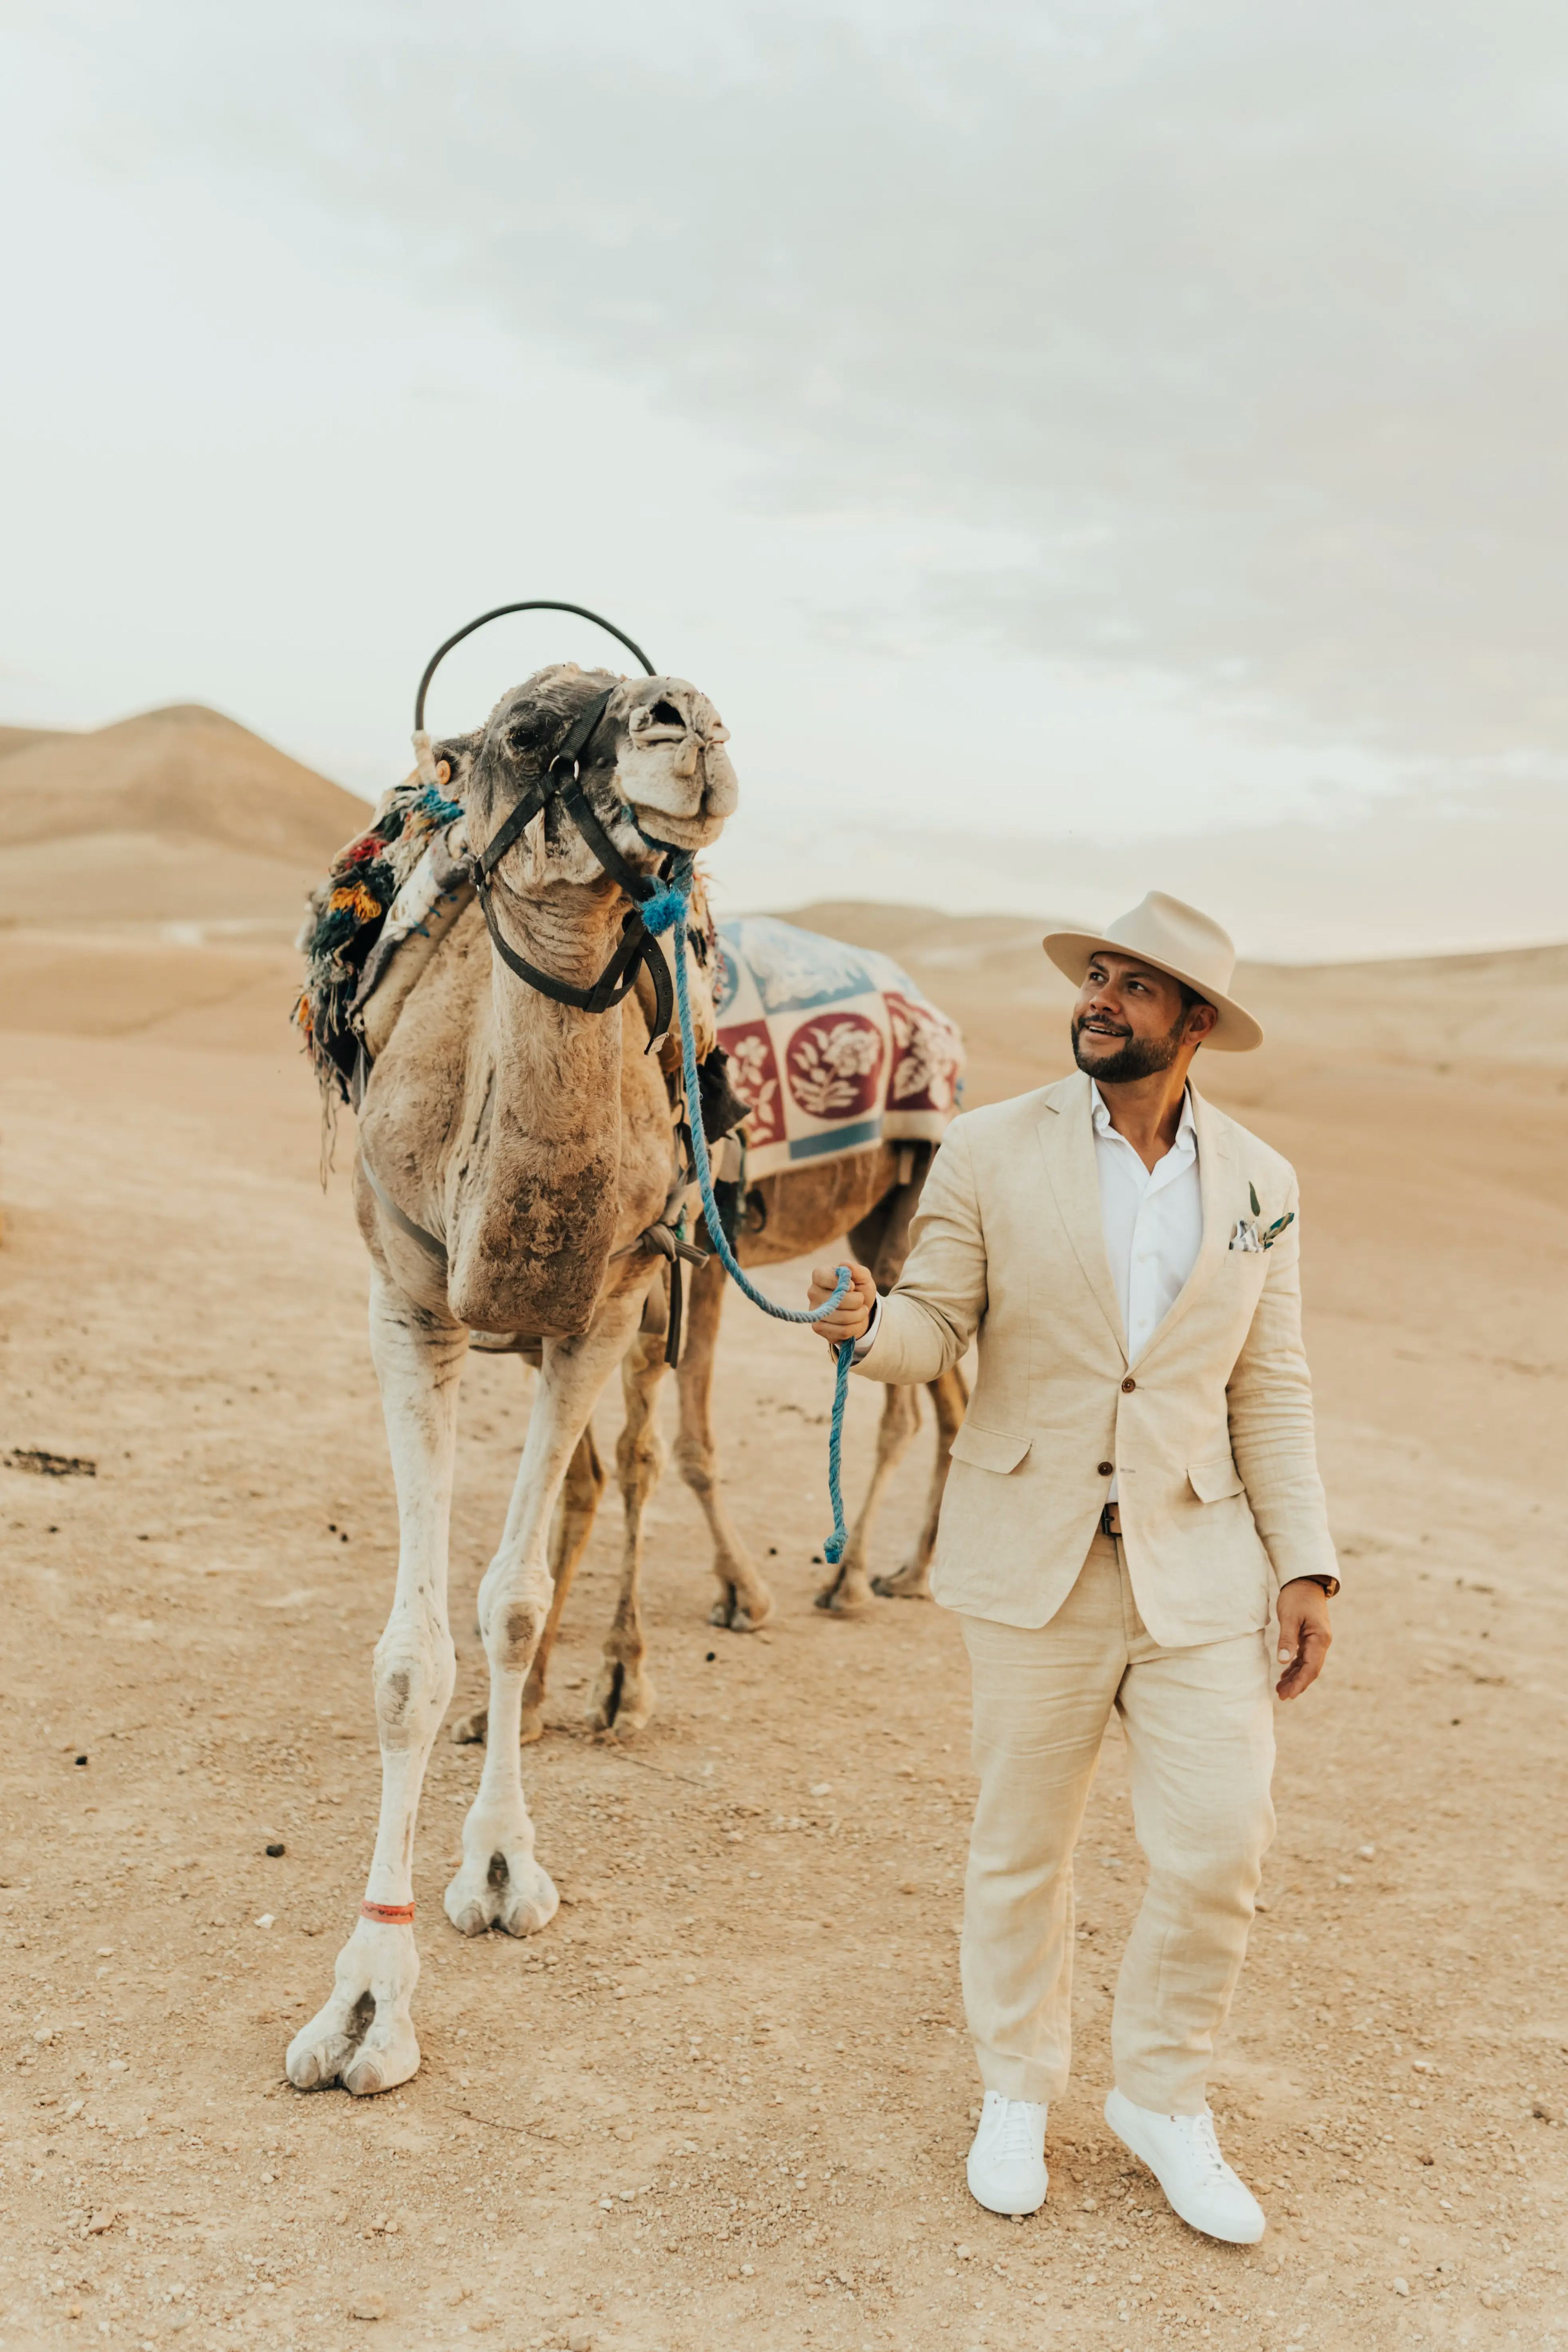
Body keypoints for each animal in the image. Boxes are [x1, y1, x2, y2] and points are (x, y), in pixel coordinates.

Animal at [285, 663, 738, 2098]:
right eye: (531, 733)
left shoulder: (600, 1310)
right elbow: (408, 1664)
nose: (692, 725)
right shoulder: (408, 1308)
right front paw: (366, 2002)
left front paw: (497, 1868)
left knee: (624, 1470)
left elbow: (515, 1605)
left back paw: (618, 1686)